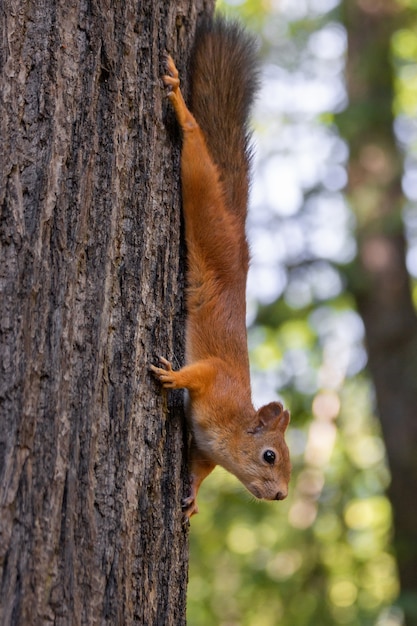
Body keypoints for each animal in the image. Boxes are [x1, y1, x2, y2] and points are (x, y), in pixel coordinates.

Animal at [151, 18, 290, 516]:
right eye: (269, 456)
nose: (281, 495)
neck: (231, 429)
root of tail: (239, 241)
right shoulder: (219, 385)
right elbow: (201, 371)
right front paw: (172, 376)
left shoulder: (206, 449)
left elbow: (198, 467)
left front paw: (191, 497)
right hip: (206, 209)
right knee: (196, 157)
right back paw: (181, 108)